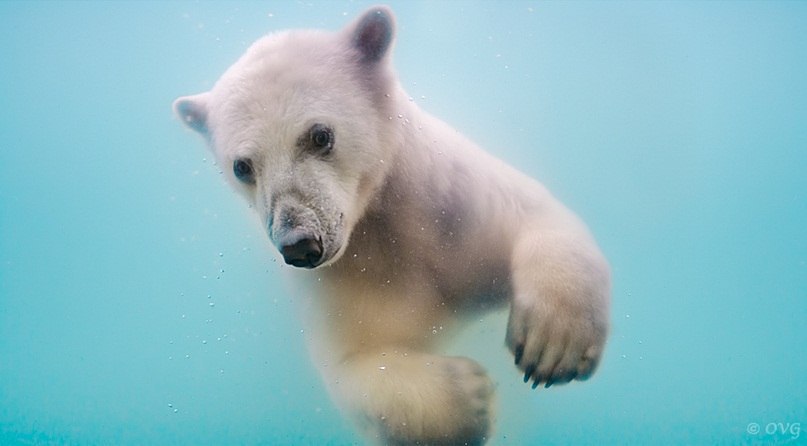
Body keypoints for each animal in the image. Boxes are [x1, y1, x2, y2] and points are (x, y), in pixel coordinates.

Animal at [174, 6, 608, 446]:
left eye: (320, 135)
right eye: (242, 166)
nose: (299, 244)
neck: (385, 222)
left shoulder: (454, 203)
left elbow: (535, 214)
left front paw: (554, 345)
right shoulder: (343, 281)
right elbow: (357, 360)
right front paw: (470, 398)